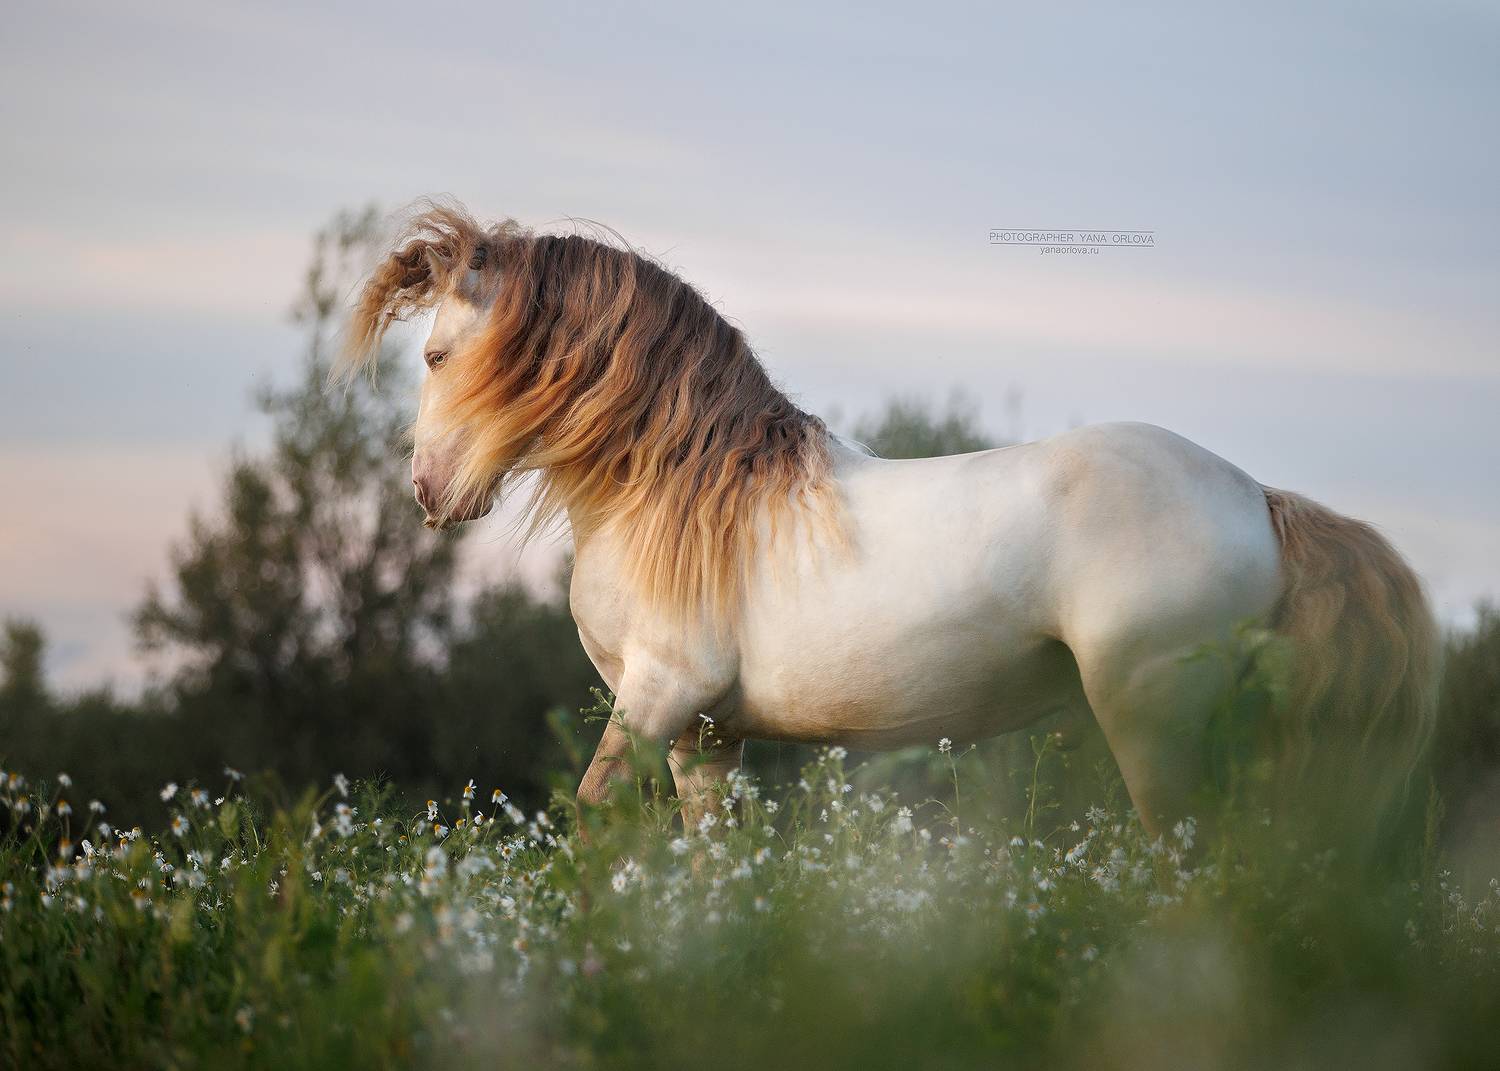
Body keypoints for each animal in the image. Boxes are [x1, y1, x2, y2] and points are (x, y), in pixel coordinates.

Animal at [339, 204, 1438, 839]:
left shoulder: (657, 697)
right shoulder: (703, 735)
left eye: (435, 356)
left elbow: (594, 818)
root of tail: (1258, 500)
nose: (428, 493)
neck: (677, 495)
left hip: (1155, 724)